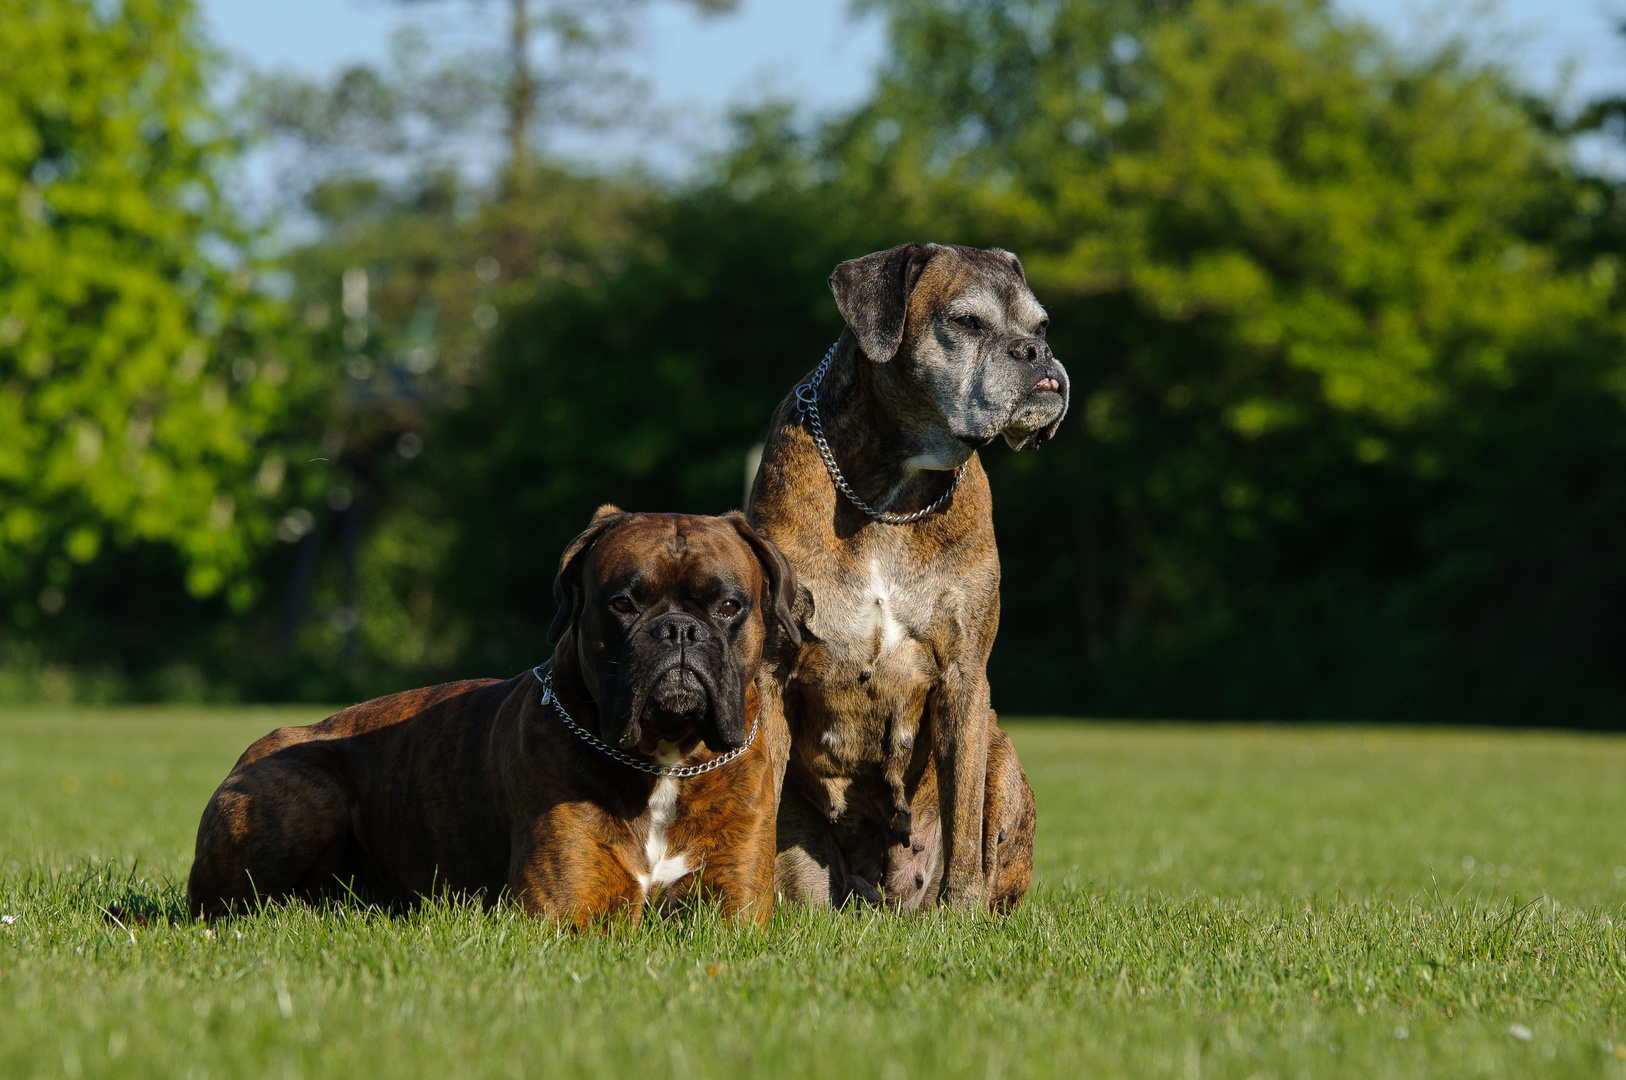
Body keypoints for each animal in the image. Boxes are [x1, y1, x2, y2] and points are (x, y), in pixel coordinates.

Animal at [186, 510, 796, 923]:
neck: (666, 762)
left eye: (728, 606)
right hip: (308, 788)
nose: (678, 630)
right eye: (622, 603)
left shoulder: (733, 913)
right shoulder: (567, 908)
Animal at [747, 242, 1066, 910]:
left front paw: (960, 911)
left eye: (1043, 326)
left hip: (1002, 759)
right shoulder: (772, 675)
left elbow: (964, 812)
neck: (891, 494)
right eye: (966, 321)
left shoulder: (963, 676)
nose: (1035, 353)